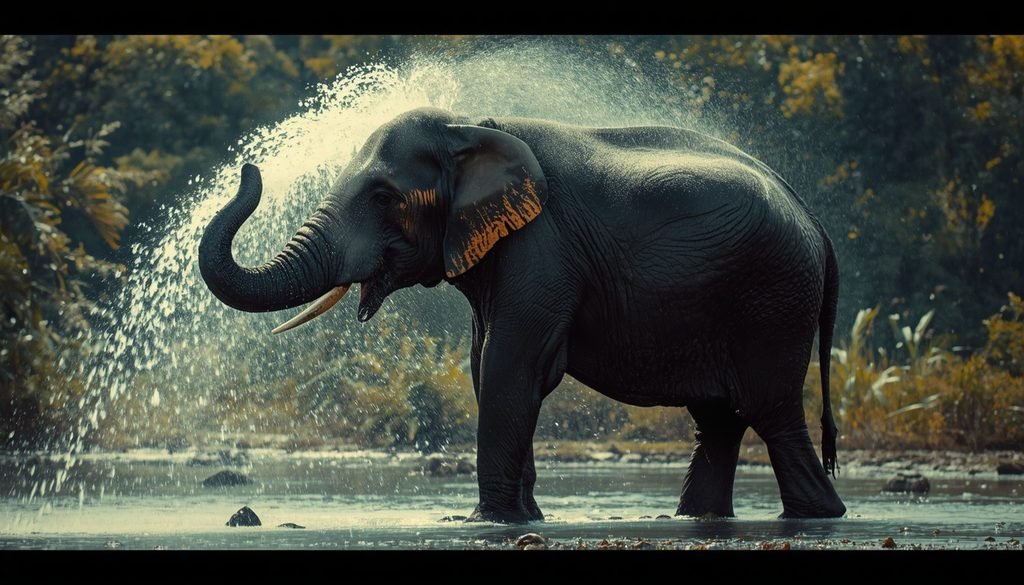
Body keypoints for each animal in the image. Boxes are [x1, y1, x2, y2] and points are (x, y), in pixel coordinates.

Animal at [199, 107, 847, 522]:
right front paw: (523, 518)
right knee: (719, 421)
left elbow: (511, 366)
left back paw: (819, 516)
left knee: (770, 411)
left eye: (384, 197)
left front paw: (485, 523)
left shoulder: (542, 249)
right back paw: (696, 519)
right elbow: (484, 365)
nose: (249, 168)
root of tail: (817, 224)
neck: (470, 126)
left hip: (772, 302)